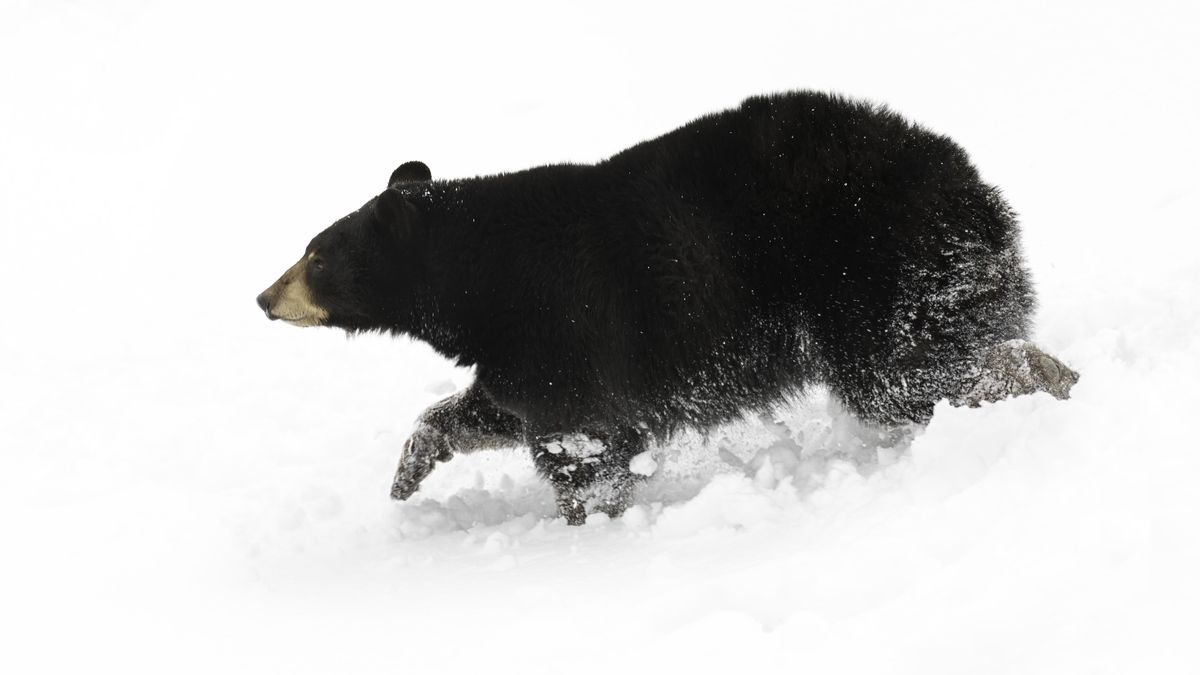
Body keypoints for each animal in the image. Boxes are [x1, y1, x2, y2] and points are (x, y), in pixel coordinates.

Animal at [255, 90, 1080, 521]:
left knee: (905, 373)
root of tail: (977, 194)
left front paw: (592, 520)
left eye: (318, 254)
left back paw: (1047, 378)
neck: (479, 279)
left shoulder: (561, 322)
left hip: (876, 274)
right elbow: (493, 410)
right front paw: (406, 472)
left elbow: (582, 443)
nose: (264, 295)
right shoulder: (521, 350)